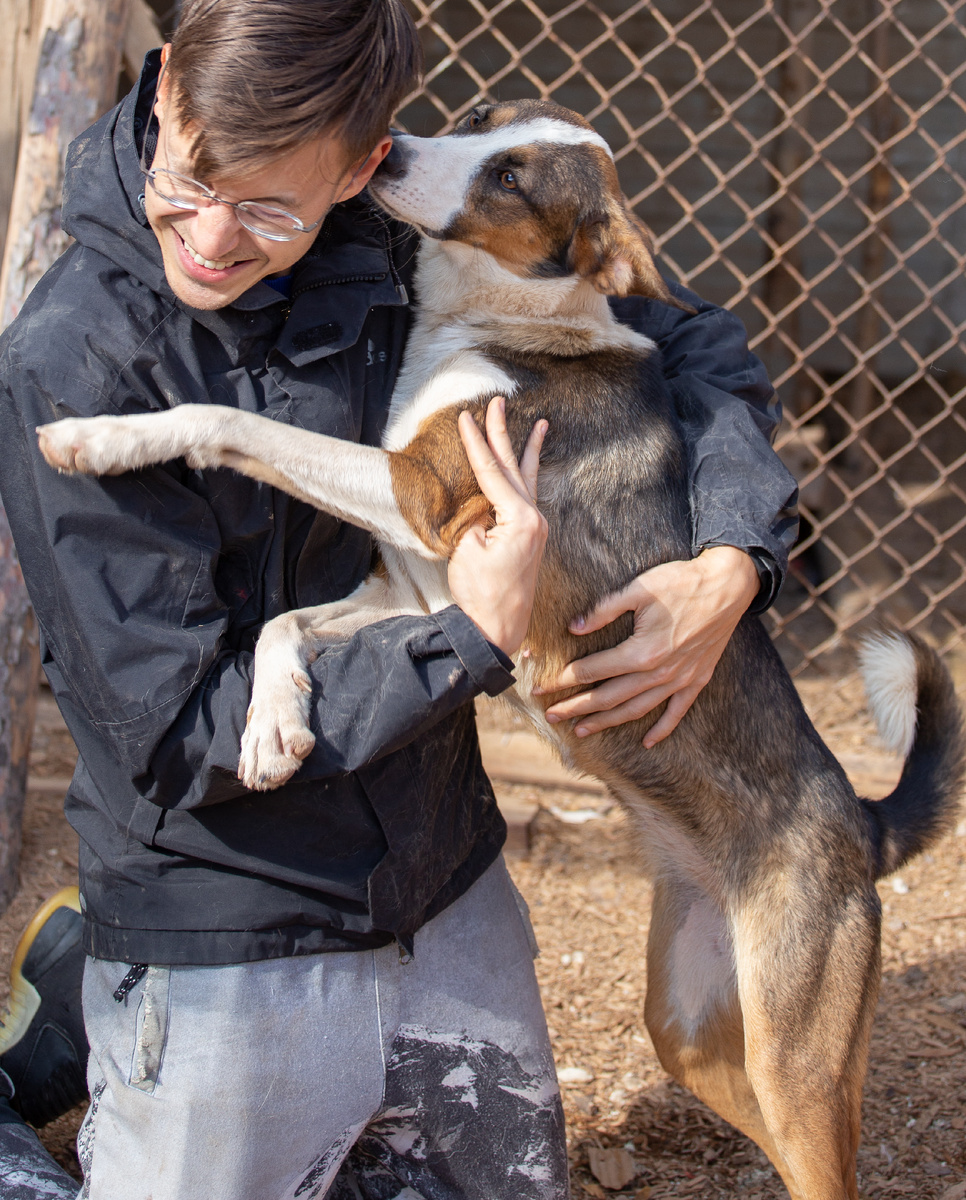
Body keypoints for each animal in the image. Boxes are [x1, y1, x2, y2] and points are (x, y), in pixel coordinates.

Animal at [37, 103, 964, 1200]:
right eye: (486, 125)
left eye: (513, 178)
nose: (390, 148)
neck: (496, 323)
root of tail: (862, 823)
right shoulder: (412, 592)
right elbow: (278, 625)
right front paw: (271, 730)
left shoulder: (419, 493)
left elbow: (227, 420)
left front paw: (100, 438)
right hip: (692, 1032)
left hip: (799, 1061)